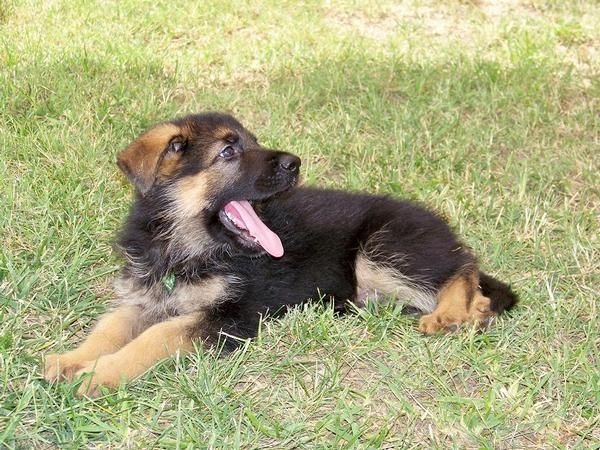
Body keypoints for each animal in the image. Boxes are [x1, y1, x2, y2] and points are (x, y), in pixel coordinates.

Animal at [43, 113, 516, 398]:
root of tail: (440, 228)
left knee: (463, 267)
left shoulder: (229, 316)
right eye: (228, 151)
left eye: (253, 141)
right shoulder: (143, 299)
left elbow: (155, 337)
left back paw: (453, 312)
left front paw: (99, 373)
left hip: (383, 248)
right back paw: (475, 312)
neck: (182, 248)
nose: (295, 162)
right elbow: (109, 327)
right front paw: (72, 360)